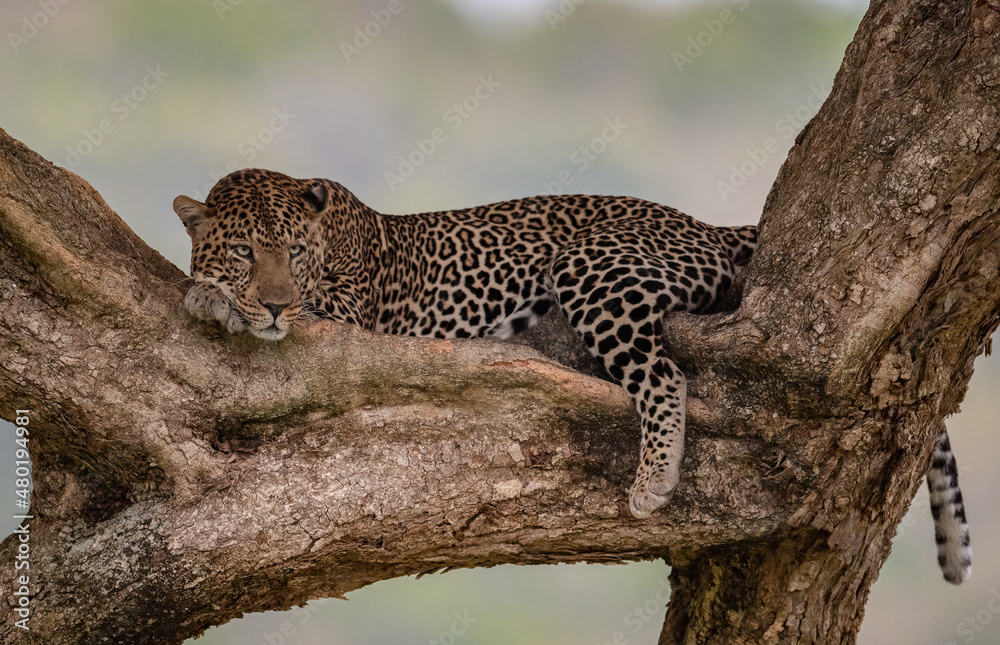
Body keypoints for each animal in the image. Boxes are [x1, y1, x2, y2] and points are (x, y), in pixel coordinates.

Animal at [174, 168, 971, 583]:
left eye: (293, 252)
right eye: (244, 250)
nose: (275, 302)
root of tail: (702, 225)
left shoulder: (354, 310)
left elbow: (305, 308)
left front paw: (215, 300)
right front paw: (217, 291)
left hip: (596, 268)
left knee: (663, 375)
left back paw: (654, 479)